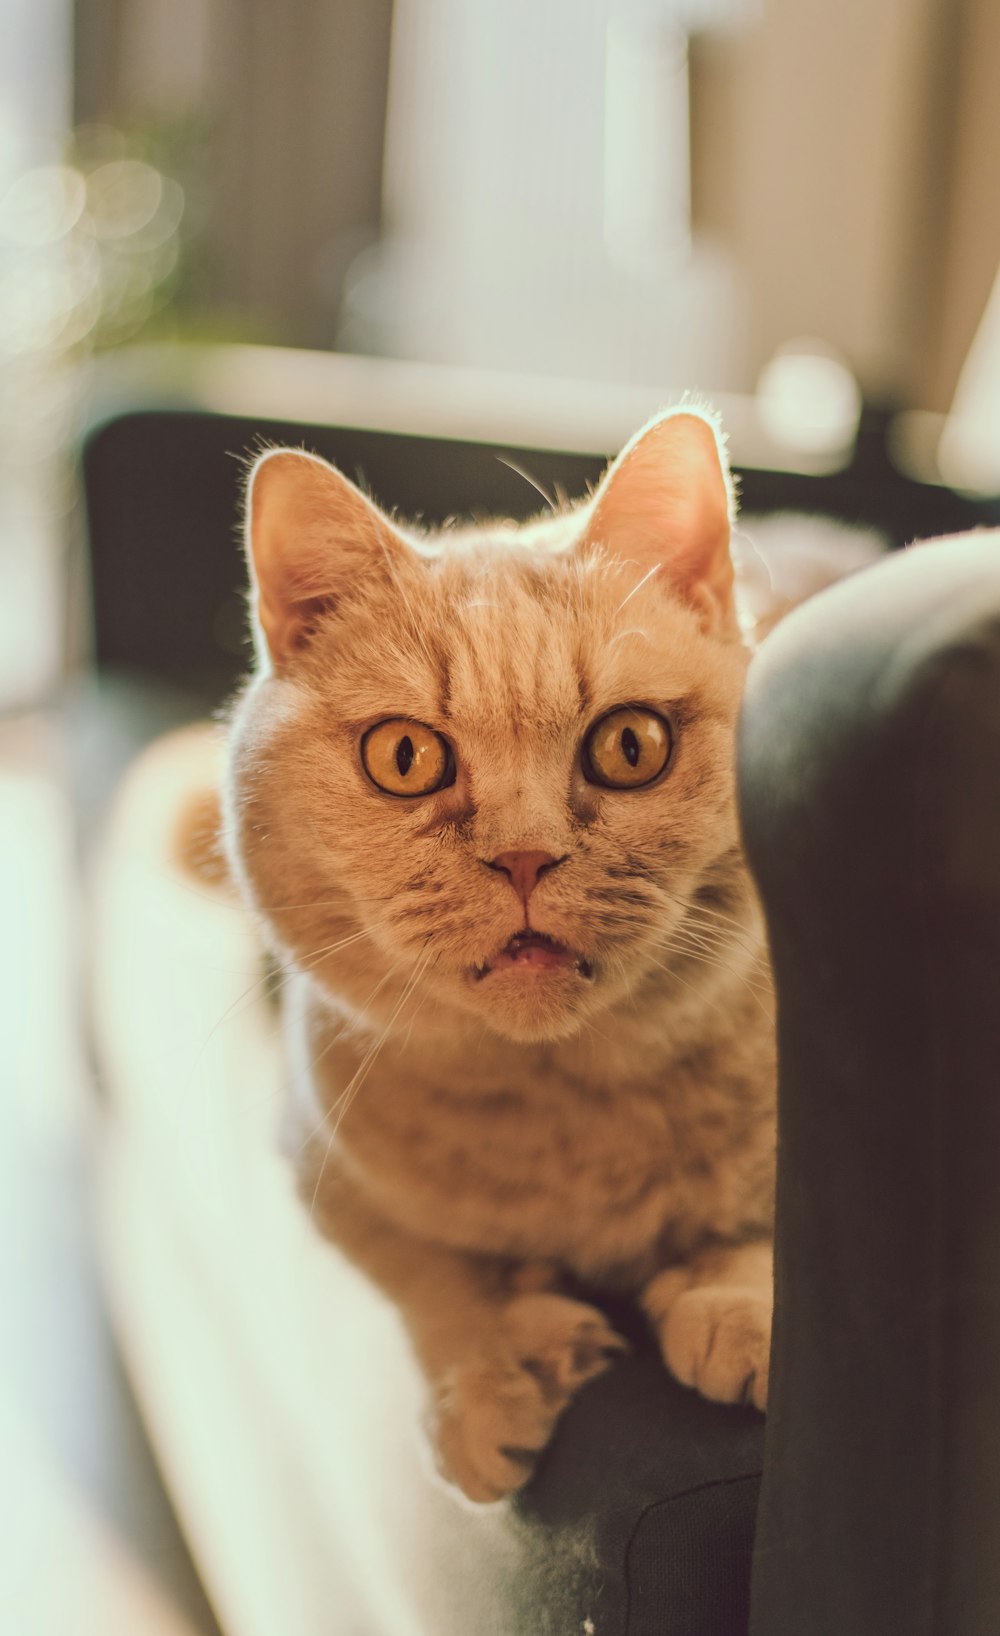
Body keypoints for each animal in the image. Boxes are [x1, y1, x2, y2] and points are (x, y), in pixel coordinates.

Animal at [222, 405, 779, 1498]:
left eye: (630, 745)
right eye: (403, 757)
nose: (525, 856)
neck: (563, 1111)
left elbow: (760, 1217)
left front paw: (735, 1303)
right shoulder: (321, 1166)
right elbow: (427, 1276)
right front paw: (488, 1379)